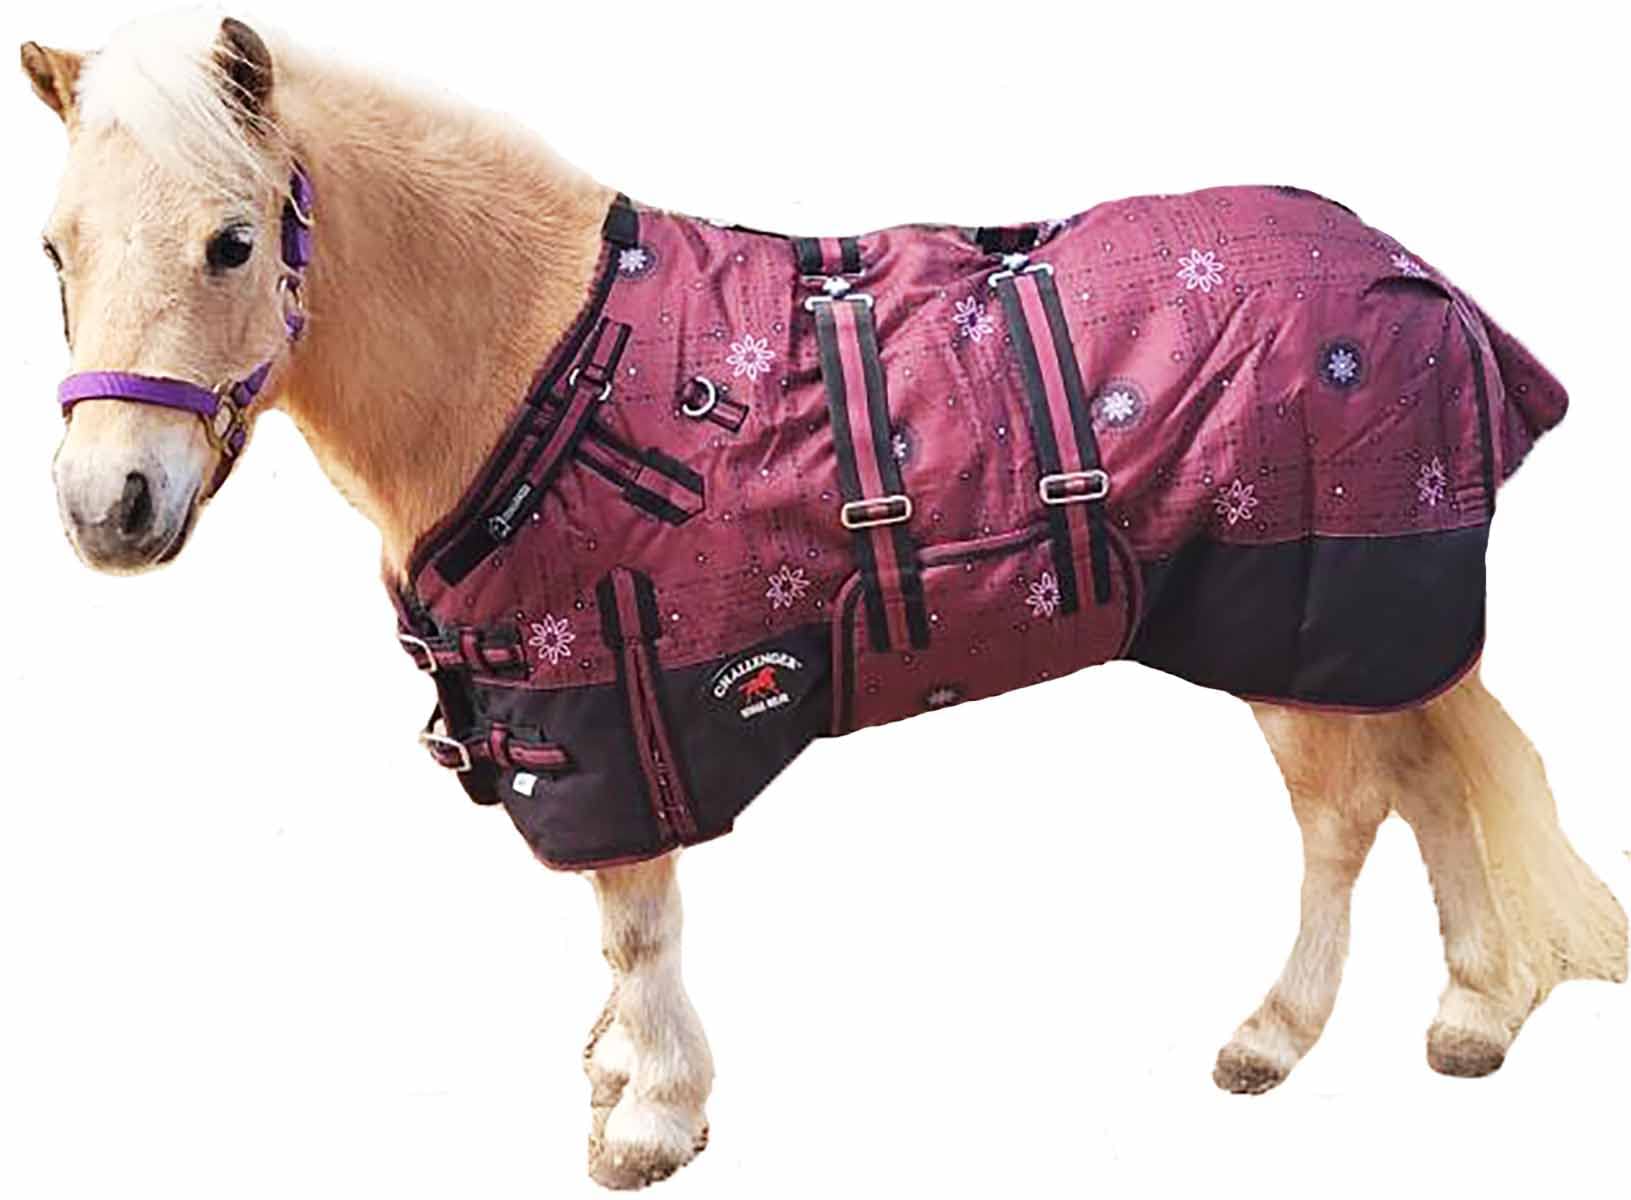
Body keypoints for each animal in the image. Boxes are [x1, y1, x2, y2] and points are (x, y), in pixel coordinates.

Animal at [20, 11, 1626, 1190]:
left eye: (234, 241)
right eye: (55, 248)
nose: (110, 506)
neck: (547, 368)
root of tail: (1414, 275)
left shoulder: (617, 724)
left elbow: (637, 926)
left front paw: (651, 1114)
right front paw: (623, 1069)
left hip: (1298, 624)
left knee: (1353, 811)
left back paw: (1307, 1030)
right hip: (1335, 634)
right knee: (1425, 782)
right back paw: (1445, 1015)